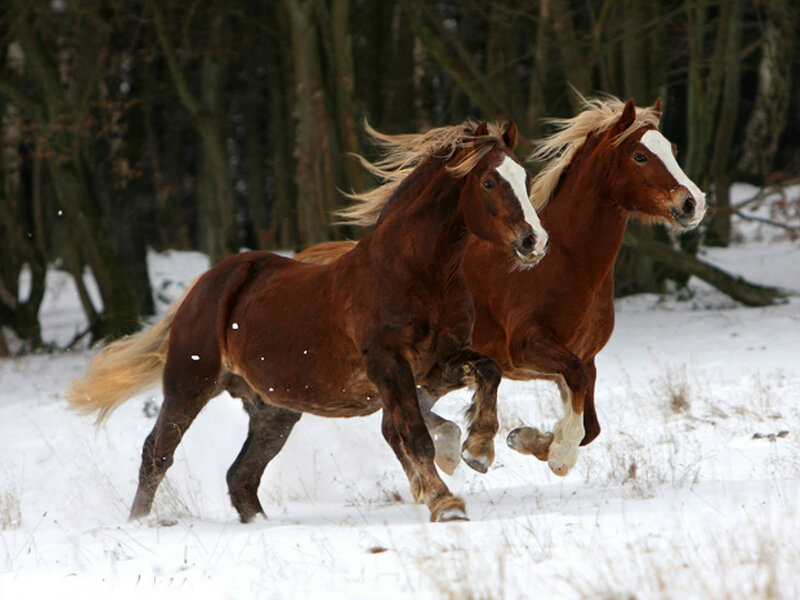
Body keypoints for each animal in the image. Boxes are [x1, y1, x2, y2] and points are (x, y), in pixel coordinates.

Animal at [67, 119, 548, 523]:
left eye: (523, 177)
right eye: (489, 181)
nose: (534, 242)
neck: (413, 273)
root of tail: (206, 283)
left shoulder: (438, 364)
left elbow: (486, 373)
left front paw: (477, 450)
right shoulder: (390, 366)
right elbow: (412, 433)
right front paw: (445, 502)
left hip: (274, 412)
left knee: (241, 476)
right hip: (190, 383)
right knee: (157, 453)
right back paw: (139, 523)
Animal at [296, 96, 706, 477]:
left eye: (673, 150)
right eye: (639, 156)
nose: (693, 203)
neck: (568, 263)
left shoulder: (581, 357)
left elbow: (590, 424)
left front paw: (529, 440)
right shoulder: (529, 346)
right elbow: (577, 390)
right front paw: (554, 452)